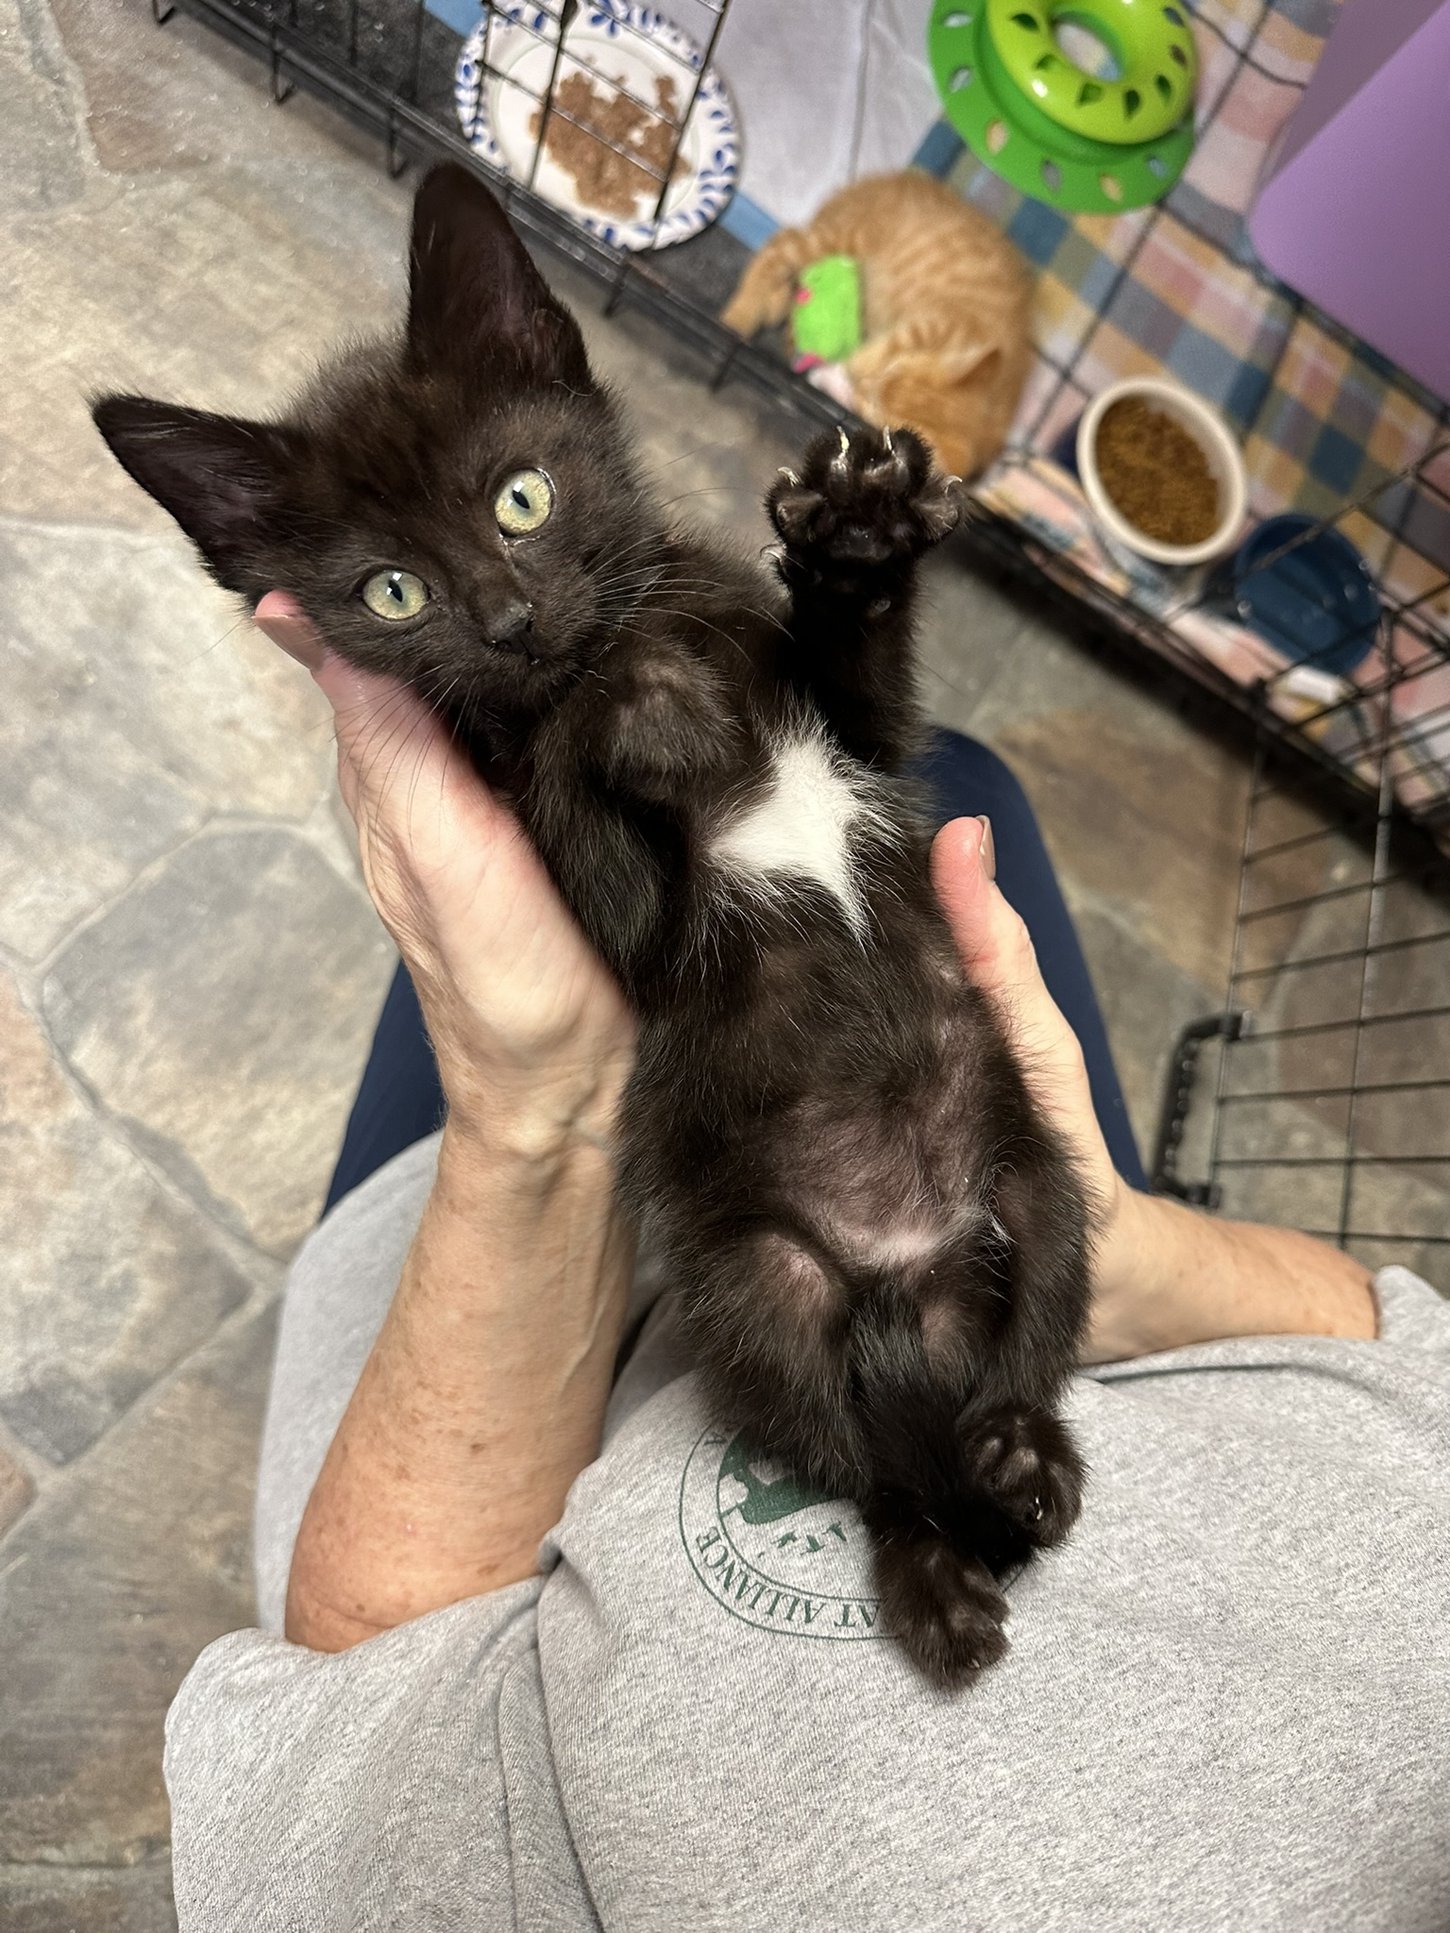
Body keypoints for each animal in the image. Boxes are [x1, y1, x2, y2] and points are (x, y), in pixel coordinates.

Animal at [726, 173, 1036, 479]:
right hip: (849, 236)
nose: (864, 381)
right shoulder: (931, 325)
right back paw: (741, 313)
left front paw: (841, 382)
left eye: (871, 405)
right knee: (782, 245)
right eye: (895, 369)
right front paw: (854, 365)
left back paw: (774, 302)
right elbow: (884, 345)